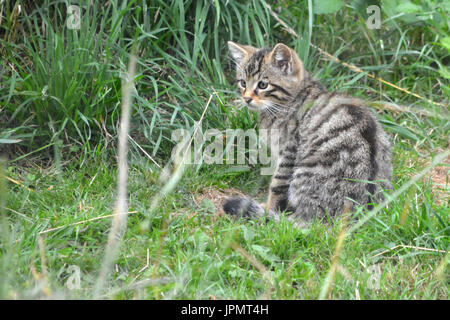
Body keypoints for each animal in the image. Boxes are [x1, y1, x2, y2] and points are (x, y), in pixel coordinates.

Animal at [223, 42, 392, 228]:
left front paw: (268, 208)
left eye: (262, 85)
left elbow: (277, 184)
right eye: (243, 83)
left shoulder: (288, 151)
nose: (246, 99)